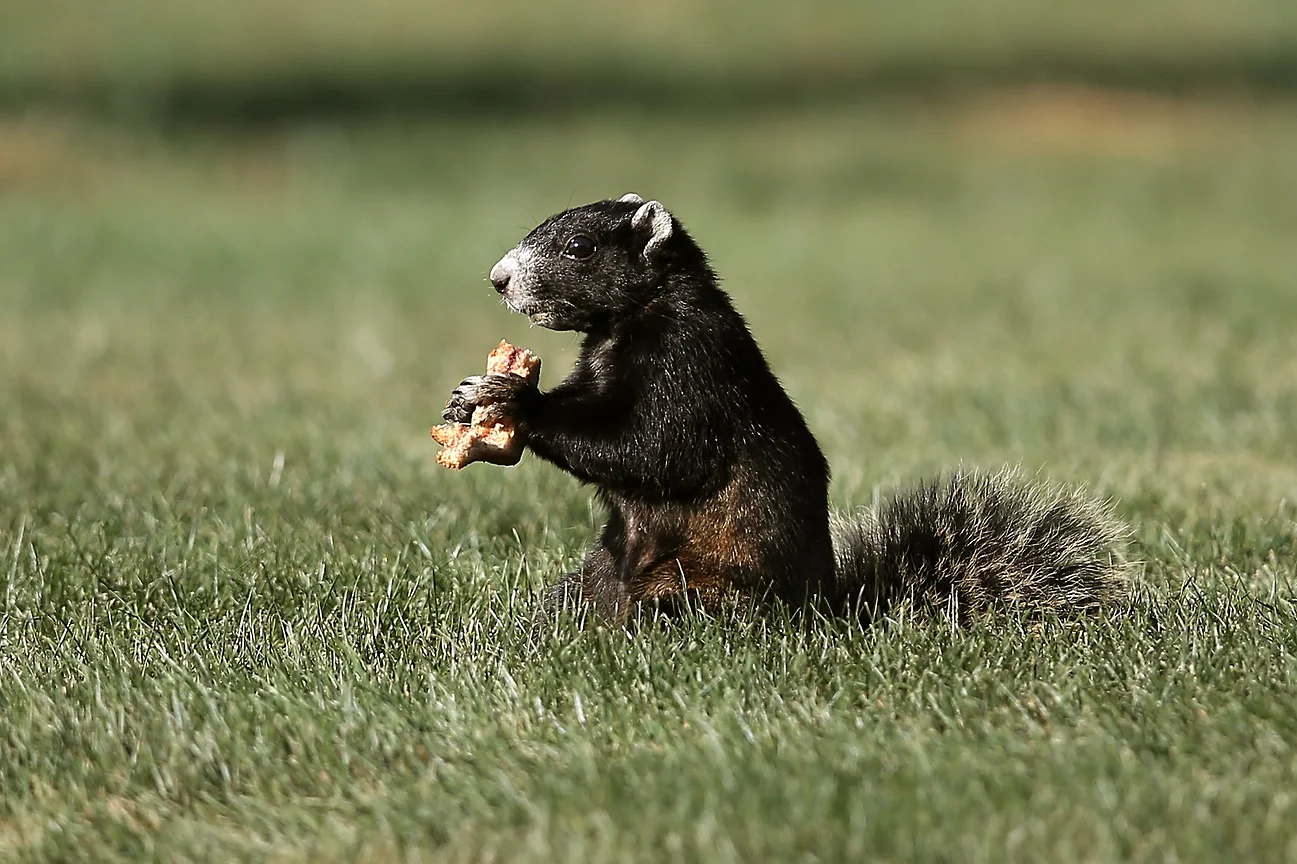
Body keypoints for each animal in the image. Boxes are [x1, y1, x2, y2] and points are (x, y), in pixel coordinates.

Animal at [440, 193, 1130, 625]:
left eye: (581, 246)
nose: (497, 277)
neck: (629, 326)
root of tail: (831, 608)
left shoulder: (692, 367)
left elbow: (652, 449)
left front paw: (512, 399)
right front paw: (471, 400)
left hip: (700, 588)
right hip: (594, 574)